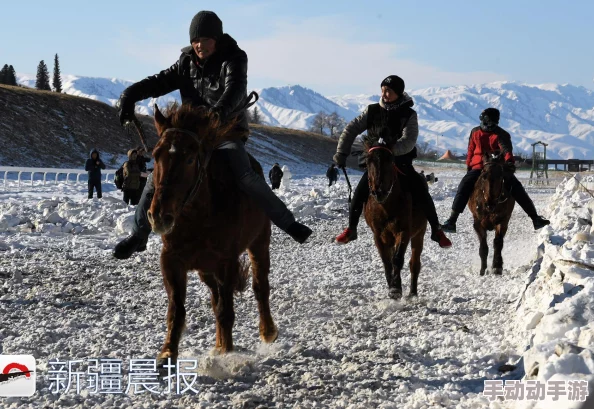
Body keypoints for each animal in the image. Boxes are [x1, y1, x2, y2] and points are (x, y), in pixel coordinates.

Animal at [148, 103, 278, 364]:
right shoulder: (171, 260)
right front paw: (167, 353)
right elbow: (177, 308)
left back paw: (267, 331)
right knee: (214, 296)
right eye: (156, 155)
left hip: (259, 243)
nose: (159, 216)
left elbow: (225, 310)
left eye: (190, 159)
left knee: (260, 286)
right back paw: (218, 344)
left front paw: (227, 353)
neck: (198, 217)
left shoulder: (226, 262)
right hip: (204, 269)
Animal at [360, 145, 426, 298]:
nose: (379, 191)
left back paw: (412, 293)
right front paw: (392, 285)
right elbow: (386, 262)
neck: (386, 206)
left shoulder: (404, 231)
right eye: (367, 161)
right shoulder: (378, 235)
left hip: (419, 233)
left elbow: (397, 259)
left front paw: (395, 288)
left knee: (414, 263)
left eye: (390, 160)